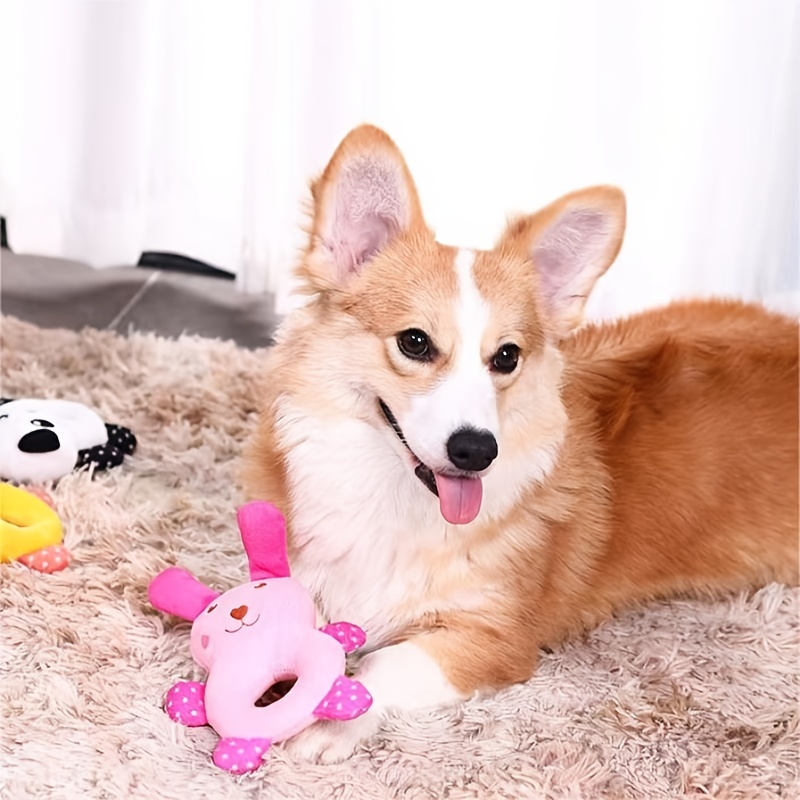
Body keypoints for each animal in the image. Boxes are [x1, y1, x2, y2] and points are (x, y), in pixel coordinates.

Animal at [244, 125, 800, 764]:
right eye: (415, 342)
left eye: (506, 356)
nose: (475, 451)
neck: (394, 501)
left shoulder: (493, 637)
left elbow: (386, 663)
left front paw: (329, 719)